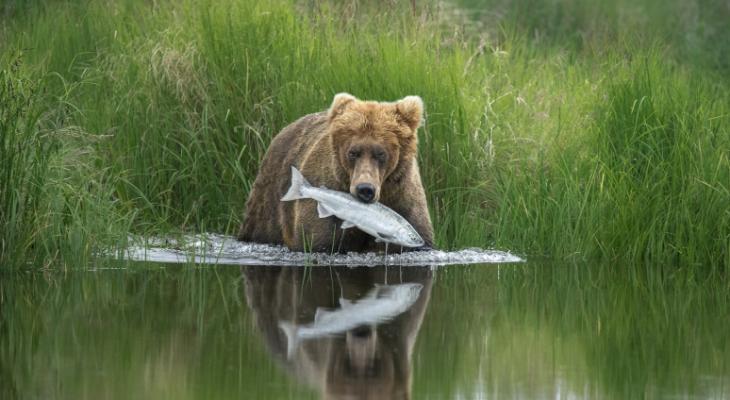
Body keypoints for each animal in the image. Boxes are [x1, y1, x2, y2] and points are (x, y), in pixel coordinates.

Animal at [239, 92, 432, 252]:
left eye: (381, 153)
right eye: (353, 152)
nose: (365, 189)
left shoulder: (404, 198)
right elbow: (319, 241)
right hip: (269, 198)